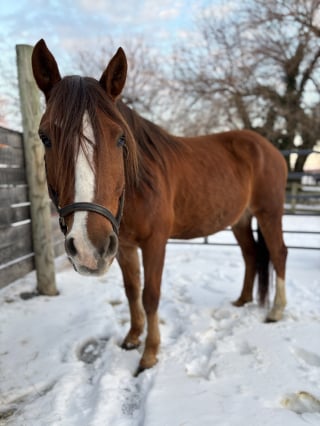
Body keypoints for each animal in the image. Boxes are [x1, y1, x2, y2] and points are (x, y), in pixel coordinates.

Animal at [31, 40, 288, 372]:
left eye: (120, 138)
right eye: (45, 137)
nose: (88, 248)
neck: (139, 186)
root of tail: (269, 148)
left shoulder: (155, 243)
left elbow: (150, 295)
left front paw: (150, 353)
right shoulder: (123, 246)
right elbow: (131, 292)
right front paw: (132, 338)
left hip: (269, 213)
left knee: (279, 253)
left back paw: (276, 311)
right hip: (240, 219)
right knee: (251, 254)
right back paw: (242, 300)